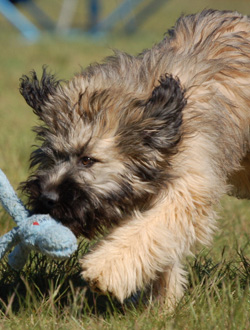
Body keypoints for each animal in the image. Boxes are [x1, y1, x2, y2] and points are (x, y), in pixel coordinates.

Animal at [20, 9, 250, 306]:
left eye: (87, 160)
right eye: (53, 156)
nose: (47, 198)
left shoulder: (189, 185)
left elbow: (151, 229)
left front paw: (105, 270)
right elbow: (159, 244)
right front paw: (163, 303)